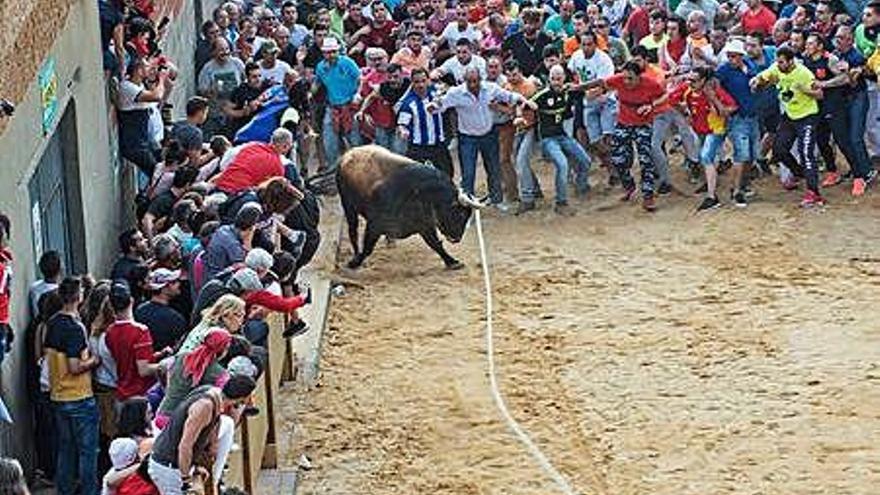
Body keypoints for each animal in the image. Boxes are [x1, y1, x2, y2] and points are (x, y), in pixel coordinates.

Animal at [336, 145, 484, 270]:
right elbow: (368, 248)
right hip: (348, 207)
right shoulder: (374, 224)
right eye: (460, 214)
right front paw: (355, 262)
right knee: (353, 231)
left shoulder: (425, 225)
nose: (457, 238)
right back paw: (356, 254)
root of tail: (347, 155)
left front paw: (452, 262)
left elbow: (436, 244)